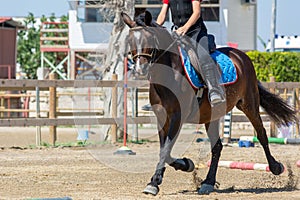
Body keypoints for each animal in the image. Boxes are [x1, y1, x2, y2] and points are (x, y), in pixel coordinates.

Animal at [121, 11, 296, 195]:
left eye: (149, 39)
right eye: (130, 41)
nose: (140, 70)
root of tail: (241, 55)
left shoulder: (177, 116)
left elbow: (166, 150)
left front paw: (159, 179)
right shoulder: (162, 117)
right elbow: (164, 151)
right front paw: (174, 171)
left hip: (249, 105)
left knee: (261, 134)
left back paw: (276, 167)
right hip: (211, 115)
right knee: (217, 146)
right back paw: (208, 182)